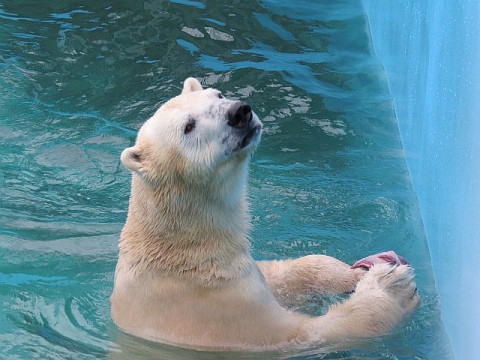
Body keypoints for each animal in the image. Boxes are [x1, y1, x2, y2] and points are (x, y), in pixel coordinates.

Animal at [110, 78, 418, 352]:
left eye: (217, 95)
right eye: (188, 127)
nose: (239, 112)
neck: (186, 252)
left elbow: (282, 273)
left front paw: (350, 273)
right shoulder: (221, 312)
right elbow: (314, 331)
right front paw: (392, 286)